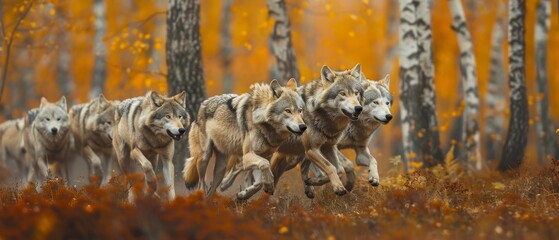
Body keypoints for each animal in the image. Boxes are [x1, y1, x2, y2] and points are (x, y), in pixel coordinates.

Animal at [223, 63, 368, 199]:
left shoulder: (328, 147)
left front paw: (314, 183)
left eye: (356, 93)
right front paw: (338, 188)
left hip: (288, 159)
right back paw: (228, 189)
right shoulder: (311, 149)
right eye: (342, 93)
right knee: (236, 170)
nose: (358, 108)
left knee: (264, 177)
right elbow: (331, 167)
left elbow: (339, 169)